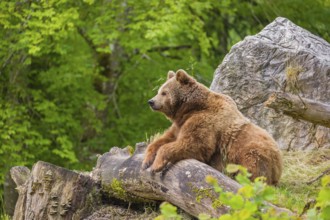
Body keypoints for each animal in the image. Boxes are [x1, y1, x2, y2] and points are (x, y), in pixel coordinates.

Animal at [141, 69, 282, 185]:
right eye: (159, 91)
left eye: (164, 93)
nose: (151, 101)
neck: (191, 108)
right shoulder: (180, 124)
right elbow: (165, 139)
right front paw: (146, 161)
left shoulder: (205, 121)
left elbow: (194, 144)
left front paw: (156, 165)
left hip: (253, 151)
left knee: (252, 169)